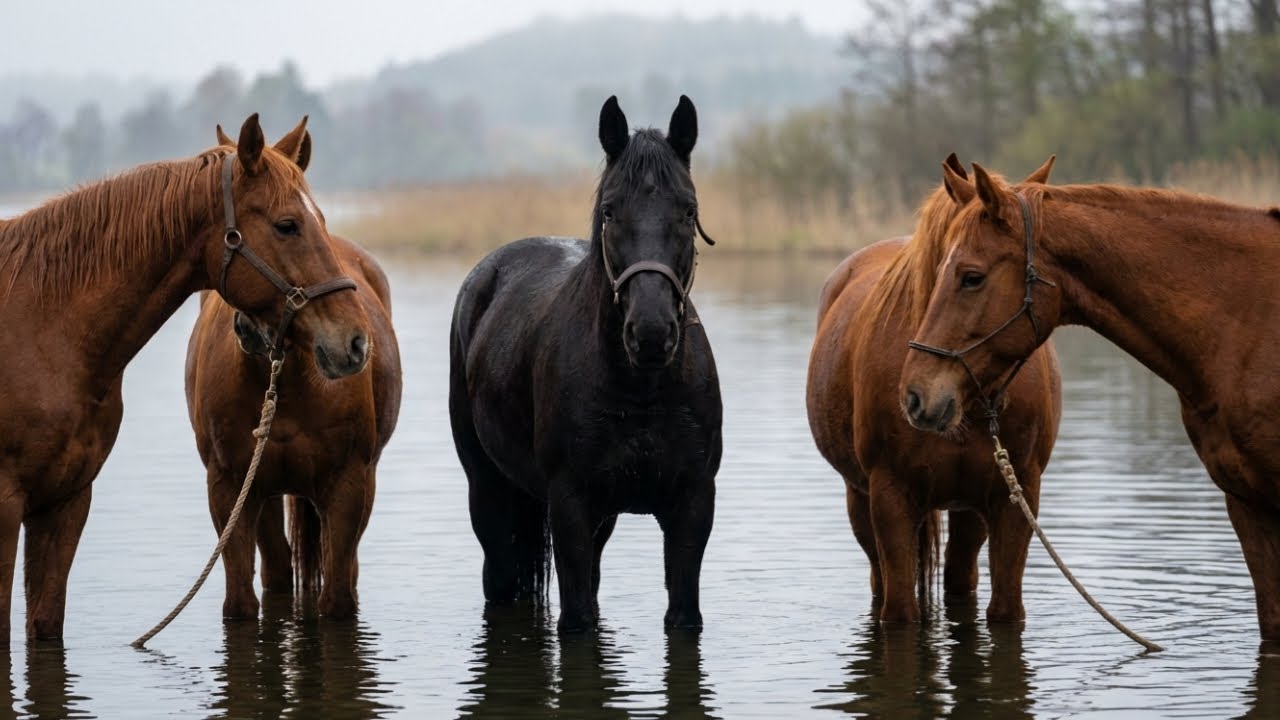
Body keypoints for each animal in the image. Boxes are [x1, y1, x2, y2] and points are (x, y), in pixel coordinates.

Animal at [0, 113, 369, 642]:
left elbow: (45, 626)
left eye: (320, 219)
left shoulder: (65, 503)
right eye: (286, 225)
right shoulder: (5, 507)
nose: (355, 341)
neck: (42, 327)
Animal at [185, 228, 401, 621]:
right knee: (277, 570)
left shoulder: (348, 485)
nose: (349, 344)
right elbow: (239, 604)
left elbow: (337, 601)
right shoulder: (230, 487)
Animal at [449, 95, 721, 634]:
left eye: (688, 209)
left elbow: (681, 615)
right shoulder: (570, 505)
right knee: (500, 578)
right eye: (611, 210)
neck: (642, 391)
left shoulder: (692, 505)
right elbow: (577, 620)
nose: (651, 332)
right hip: (487, 489)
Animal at [806, 155, 1062, 624]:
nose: (920, 399)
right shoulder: (890, 498)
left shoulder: (1015, 499)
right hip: (861, 500)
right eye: (953, 274)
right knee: (880, 578)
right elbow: (900, 612)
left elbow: (1005, 611)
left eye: (972, 277)